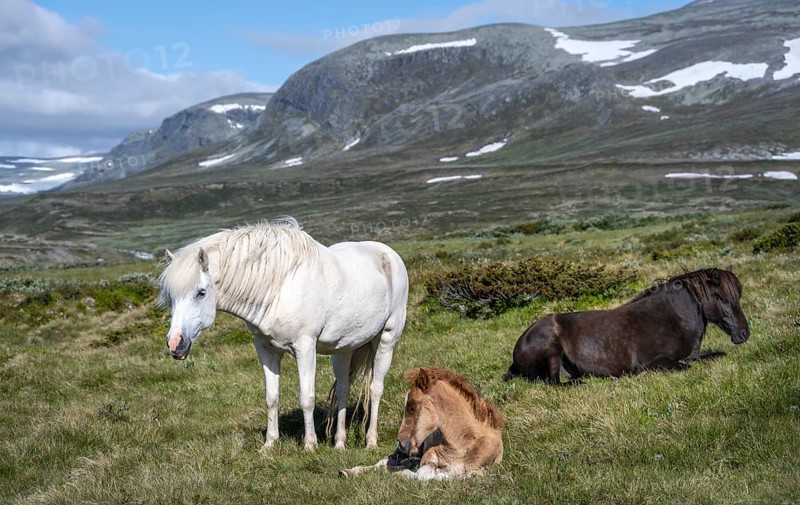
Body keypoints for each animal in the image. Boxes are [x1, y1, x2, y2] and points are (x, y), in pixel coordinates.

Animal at [158, 218, 408, 450]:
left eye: (201, 292)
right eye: (170, 297)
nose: (175, 344)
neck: (279, 287)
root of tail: (388, 253)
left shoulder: (305, 347)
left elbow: (306, 398)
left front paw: (310, 445)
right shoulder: (266, 348)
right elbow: (271, 397)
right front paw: (269, 444)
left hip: (386, 339)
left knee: (375, 389)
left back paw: (371, 441)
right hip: (343, 349)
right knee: (343, 389)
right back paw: (339, 444)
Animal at [340, 367, 504, 480]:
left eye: (412, 407)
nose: (401, 442)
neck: (462, 445)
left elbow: (448, 475)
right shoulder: (428, 459)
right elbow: (423, 475)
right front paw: (400, 474)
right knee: (385, 461)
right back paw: (348, 472)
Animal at [505, 267, 750, 383]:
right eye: (723, 299)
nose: (744, 334)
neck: (671, 319)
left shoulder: (694, 355)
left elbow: (714, 356)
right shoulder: (655, 361)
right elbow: (682, 366)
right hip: (552, 352)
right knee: (554, 383)